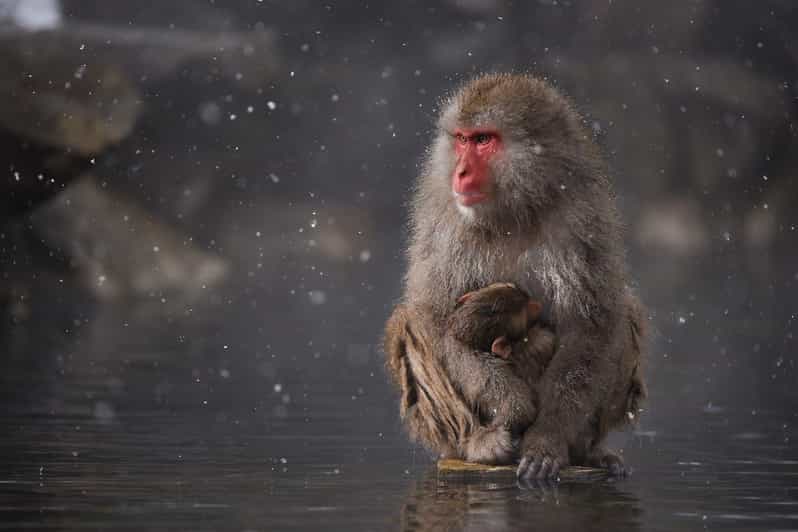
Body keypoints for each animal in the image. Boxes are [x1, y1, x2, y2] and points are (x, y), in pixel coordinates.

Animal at [384, 73, 646, 480]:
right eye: (462, 139)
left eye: (484, 140)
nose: (460, 171)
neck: (514, 208)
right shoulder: (444, 217)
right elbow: (434, 315)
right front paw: (513, 405)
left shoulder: (584, 215)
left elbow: (591, 323)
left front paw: (546, 439)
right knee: (409, 321)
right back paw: (480, 444)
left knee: (624, 313)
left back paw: (588, 452)